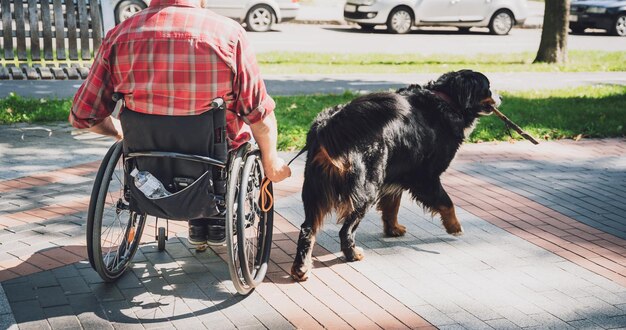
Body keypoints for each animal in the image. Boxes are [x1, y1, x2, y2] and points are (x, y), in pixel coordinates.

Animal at [290, 69, 500, 282]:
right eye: (487, 88)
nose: (500, 97)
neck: (447, 99)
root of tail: (328, 124)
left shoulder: (395, 174)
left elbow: (392, 206)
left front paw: (393, 229)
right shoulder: (425, 177)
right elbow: (447, 203)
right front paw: (455, 227)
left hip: (315, 191)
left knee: (308, 228)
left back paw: (301, 268)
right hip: (367, 189)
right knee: (346, 230)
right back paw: (352, 254)